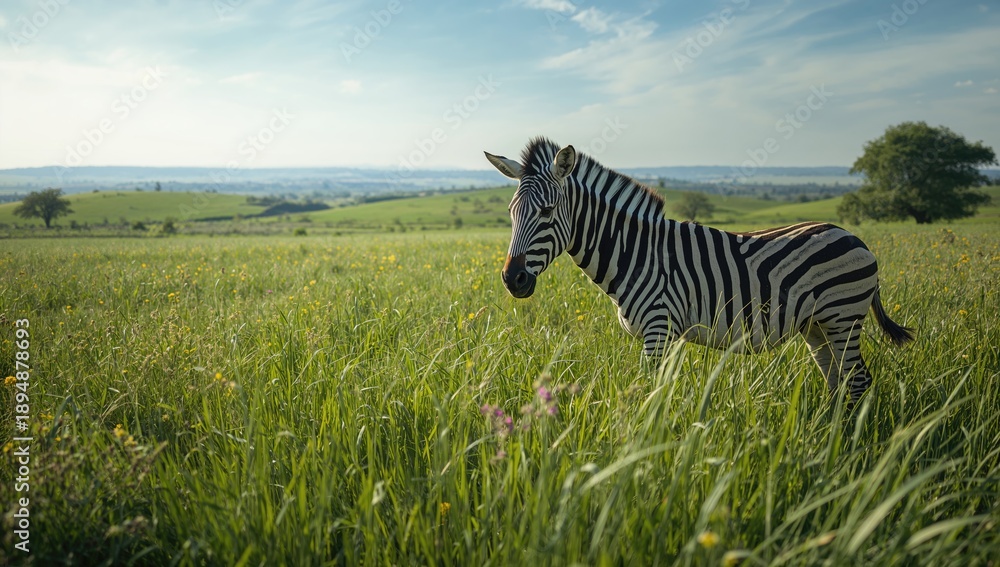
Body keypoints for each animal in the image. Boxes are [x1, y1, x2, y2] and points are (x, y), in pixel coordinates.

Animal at [484, 136, 913, 402]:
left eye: (546, 212)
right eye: (510, 212)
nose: (512, 279)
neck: (635, 252)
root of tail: (854, 237)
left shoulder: (658, 330)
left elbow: (649, 396)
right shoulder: (666, 335)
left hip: (842, 319)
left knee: (858, 381)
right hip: (818, 327)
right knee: (838, 382)